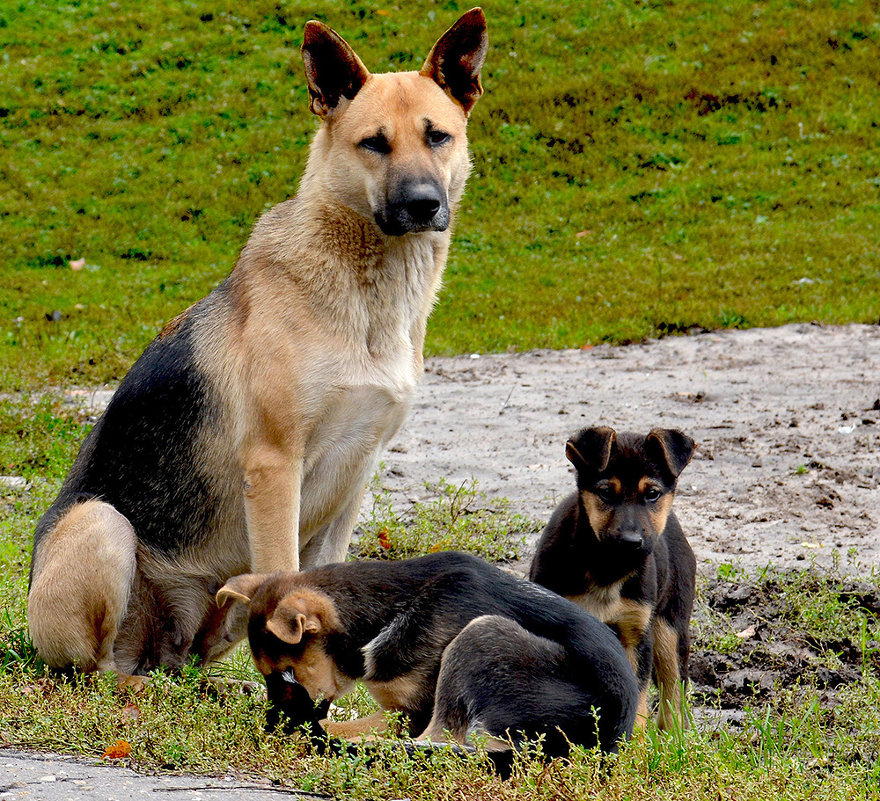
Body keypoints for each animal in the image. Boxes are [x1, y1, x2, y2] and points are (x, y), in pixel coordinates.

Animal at [27, 9, 488, 680]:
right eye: (374, 143)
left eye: (438, 137)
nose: (424, 205)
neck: (365, 290)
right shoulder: (274, 468)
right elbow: (286, 579)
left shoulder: (356, 474)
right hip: (103, 524)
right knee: (98, 668)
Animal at [217, 548, 636, 760]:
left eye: (287, 677)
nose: (268, 725)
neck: (386, 613)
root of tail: (609, 743)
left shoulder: (407, 715)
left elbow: (332, 723)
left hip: (481, 635)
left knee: (443, 740)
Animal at [528, 428, 696, 728]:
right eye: (605, 493)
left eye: (652, 494)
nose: (631, 542)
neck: (607, 568)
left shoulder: (636, 635)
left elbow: (638, 703)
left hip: (670, 627)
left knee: (674, 693)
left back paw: (673, 738)